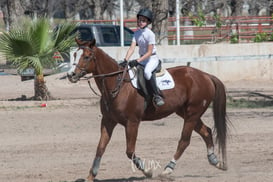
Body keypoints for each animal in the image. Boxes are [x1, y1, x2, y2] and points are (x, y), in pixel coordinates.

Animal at [67, 38, 228, 181]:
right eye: (74, 55)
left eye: (86, 57)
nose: (71, 75)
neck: (118, 85)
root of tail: (206, 75)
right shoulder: (108, 121)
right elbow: (100, 148)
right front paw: (91, 176)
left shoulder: (132, 122)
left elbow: (130, 151)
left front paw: (148, 171)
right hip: (186, 113)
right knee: (206, 131)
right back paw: (216, 162)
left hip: (192, 113)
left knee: (184, 140)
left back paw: (168, 169)